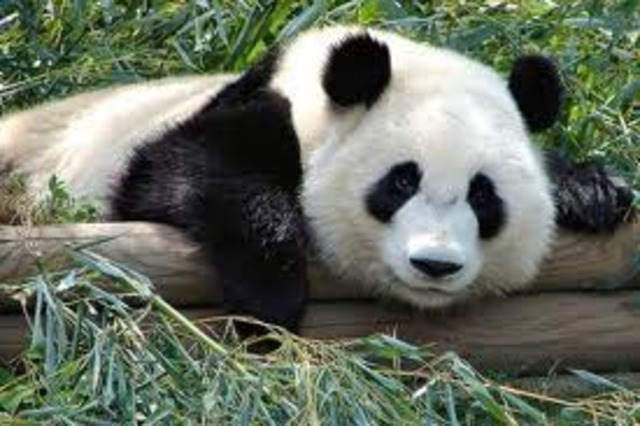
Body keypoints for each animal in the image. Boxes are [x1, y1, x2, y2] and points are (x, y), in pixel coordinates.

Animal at [0, 26, 635, 332]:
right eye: (400, 183)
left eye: (484, 197)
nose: (434, 265)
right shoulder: (243, 113)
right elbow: (179, 175)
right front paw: (270, 296)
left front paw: (593, 192)